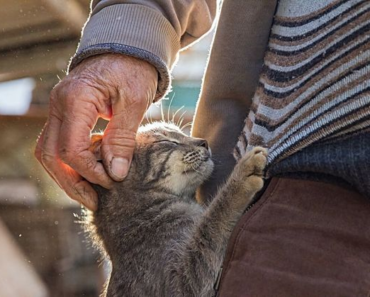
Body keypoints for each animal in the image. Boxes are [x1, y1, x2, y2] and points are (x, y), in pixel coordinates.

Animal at [88, 121, 268, 294]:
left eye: (182, 133)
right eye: (167, 141)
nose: (204, 142)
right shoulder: (180, 281)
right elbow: (214, 221)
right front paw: (242, 174)